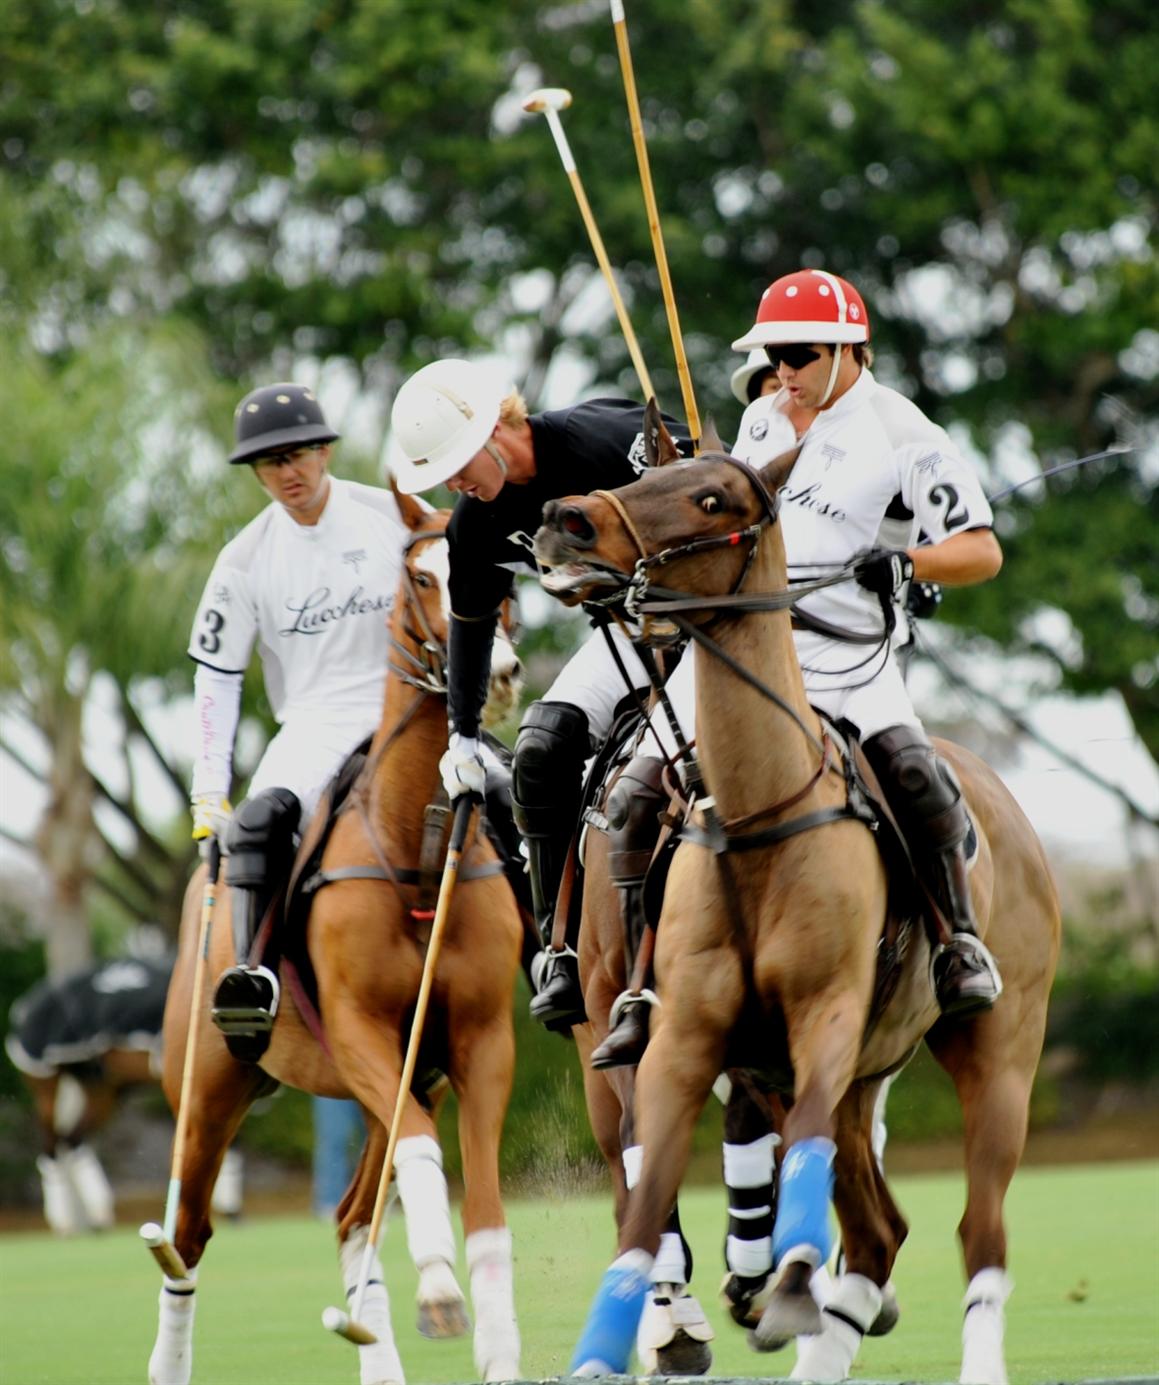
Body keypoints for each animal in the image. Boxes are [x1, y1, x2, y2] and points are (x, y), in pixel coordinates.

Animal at [5, 953, 243, 1234]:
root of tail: (23, 1007)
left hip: (101, 1088)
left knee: (73, 1140)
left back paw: (98, 1218)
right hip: (45, 1082)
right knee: (51, 1147)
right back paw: (65, 1222)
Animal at [147, 495, 526, 1385]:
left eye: (502, 575)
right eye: (421, 576)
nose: (497, 677)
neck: (417, 852)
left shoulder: (479, 1041)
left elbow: (485, 1205)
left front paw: (490, 1340)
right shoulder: (357, 1029)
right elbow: (423, 1157)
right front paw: (440, 1290)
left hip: (407, 1075)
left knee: (353, 1216)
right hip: (207, 1085)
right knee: (186, 1238)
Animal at [534, 436, 1061, 1385]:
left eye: (711, 497)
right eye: (645, 472)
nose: (564, 519)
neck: (756, 814)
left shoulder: (824, 1016)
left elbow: (792, 1156)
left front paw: (778, 1285)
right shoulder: (676, 1036)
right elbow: (641, 1199)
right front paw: (628, 1341)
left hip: (998, 1052)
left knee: (978, 1227)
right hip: (858, 1070)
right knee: (879, 1228)